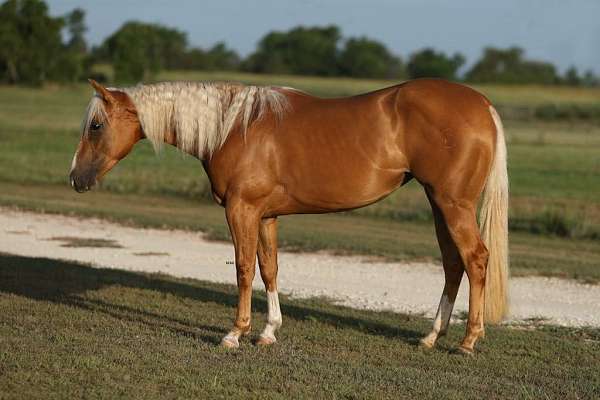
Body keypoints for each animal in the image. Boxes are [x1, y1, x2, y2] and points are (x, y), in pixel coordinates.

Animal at [72, 78, 508, 354]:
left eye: (96, 125)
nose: (76, 178)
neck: (234, 127)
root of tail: (483, 105)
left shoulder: (242, 210)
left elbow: (244, 268)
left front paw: (235, 333)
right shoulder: (265, 216)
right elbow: (270, 268)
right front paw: (268, 331)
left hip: (453, 204)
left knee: (476, 259)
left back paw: (468, 341)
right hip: (439, 204)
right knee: (453, 264)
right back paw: (431, 337)